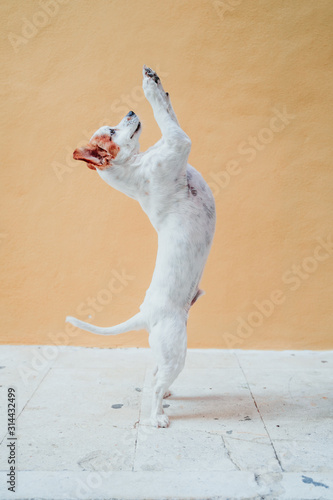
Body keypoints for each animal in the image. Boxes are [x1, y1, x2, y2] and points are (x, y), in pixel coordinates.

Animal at [65, 65, 215, 426]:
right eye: (112, 130)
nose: (131, 112)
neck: (133, 169)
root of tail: (146, 314)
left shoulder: (172, 139)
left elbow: (169, 111)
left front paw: (158, 83)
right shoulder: (178, 140)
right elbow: (165, 115)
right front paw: (150, 87)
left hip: (167, 349)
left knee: (157, 374)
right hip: (177, 351)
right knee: (157, 386)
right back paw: (158, 417)